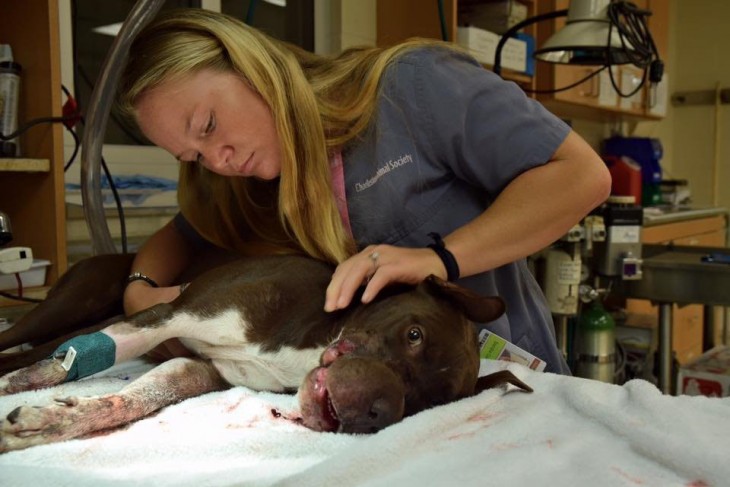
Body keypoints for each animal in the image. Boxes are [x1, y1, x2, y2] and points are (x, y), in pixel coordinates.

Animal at [0, 255, 528, 454]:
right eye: (414, 334)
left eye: (431, 404)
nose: (374, 413)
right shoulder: (171, 314)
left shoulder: (201, 370)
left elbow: (137, 397)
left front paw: (52, 422)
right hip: (68, 308)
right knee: (28, 342)